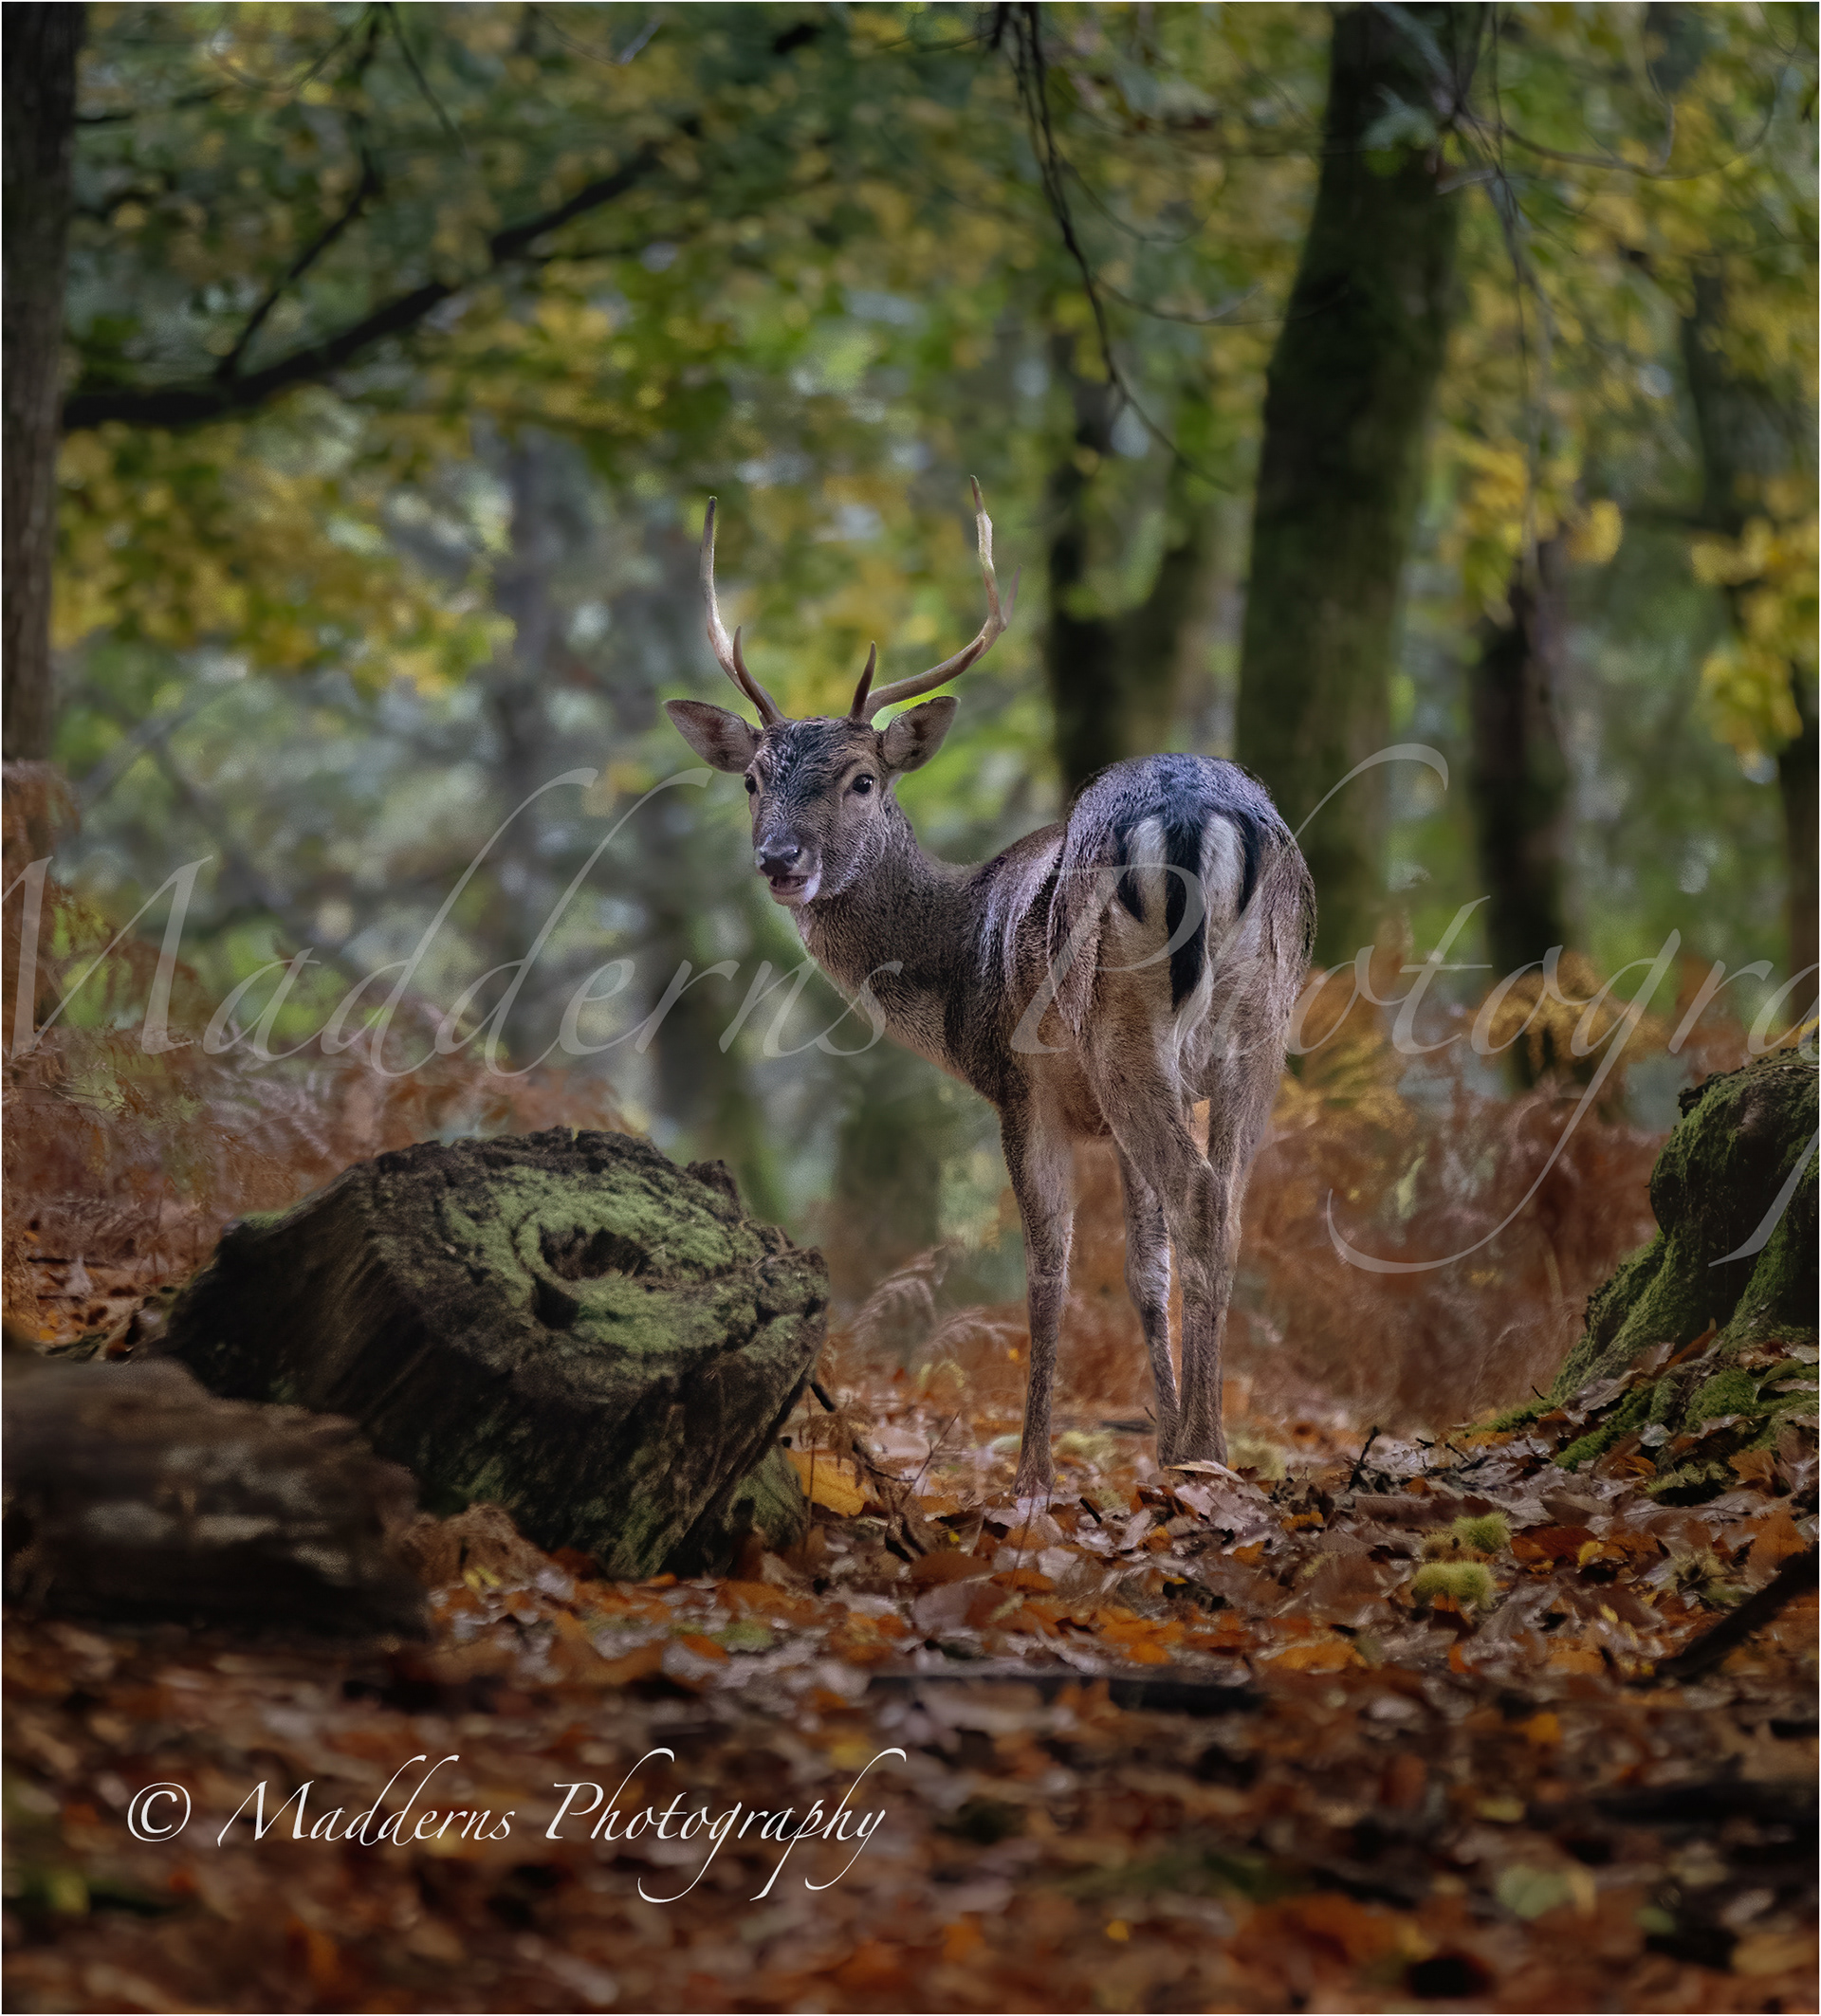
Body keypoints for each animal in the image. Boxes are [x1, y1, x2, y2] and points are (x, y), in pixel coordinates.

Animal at [664, 482, 1315, 1500]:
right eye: (753, 778)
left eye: (863, 779)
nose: (780, 861)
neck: (955, 957)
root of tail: (1199, 815)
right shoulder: (1108, 1116)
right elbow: (1144, 1270)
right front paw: (1152, 1445)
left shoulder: (1023, 1086)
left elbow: (1047, 1268)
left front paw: (1033, 1478)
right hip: (1260, 1029)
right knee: (1229, 1202)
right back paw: (1200, 1452)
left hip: (1121, 1029)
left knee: (1204, 1194)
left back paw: (1207, 1453)